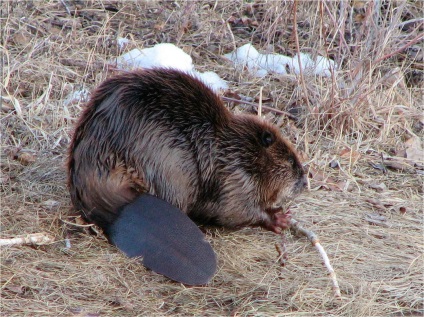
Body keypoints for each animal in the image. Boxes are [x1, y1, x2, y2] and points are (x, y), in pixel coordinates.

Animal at [68, 67, 306, 237]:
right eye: (291, 161)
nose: (305, 182)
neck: (233, 148)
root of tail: (120, 207)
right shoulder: (235, 178)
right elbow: (234, 211)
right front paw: (279, 218)